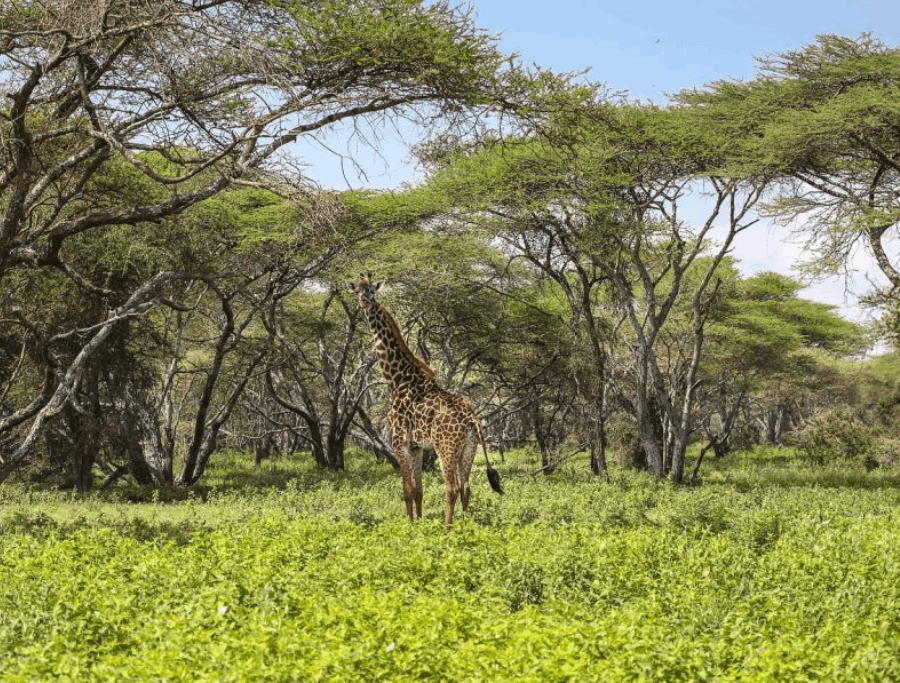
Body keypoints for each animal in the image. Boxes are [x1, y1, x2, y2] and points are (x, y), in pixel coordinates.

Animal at [348, 273, 503, 529]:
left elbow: (406, 489)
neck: (398, 379)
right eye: (357, 291)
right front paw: (419, 523)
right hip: (470, 447)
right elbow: (418, 489)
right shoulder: (417, 446)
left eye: (371, 291)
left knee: (452, 487)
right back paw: (465, 525)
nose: (363, 303)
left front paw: (410, 525)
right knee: (467, 487)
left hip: (446, 447)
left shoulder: (399, 441)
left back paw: (448, 529)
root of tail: (472, 418)